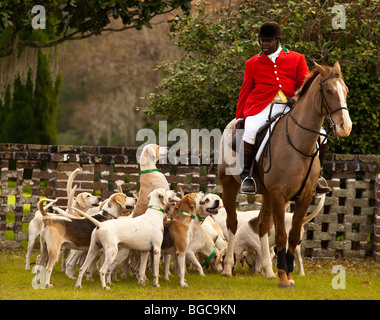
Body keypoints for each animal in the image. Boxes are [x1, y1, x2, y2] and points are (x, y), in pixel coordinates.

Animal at [218, 61, 352, 286]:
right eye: (329, 91)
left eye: (346, 91)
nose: (345, 127)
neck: (299, 143)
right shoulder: (280, 195)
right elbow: (281, 235)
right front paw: (283, 278)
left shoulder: (304, 197)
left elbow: (294, 236)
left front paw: (286, 274)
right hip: (230, 185)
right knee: (233, 223)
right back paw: (228, 268)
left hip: (266, 194)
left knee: (262, 225)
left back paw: (267, 270)